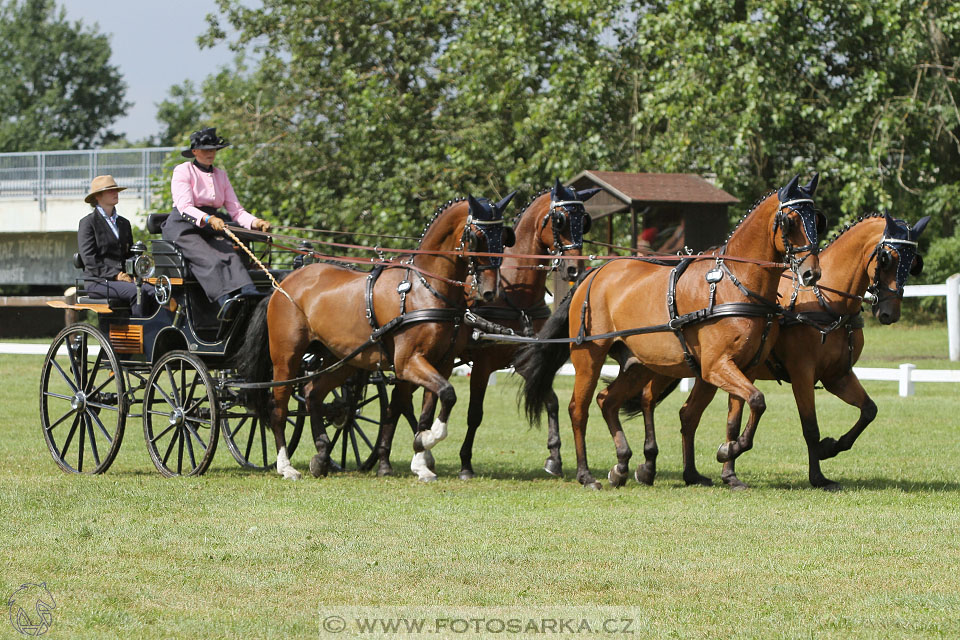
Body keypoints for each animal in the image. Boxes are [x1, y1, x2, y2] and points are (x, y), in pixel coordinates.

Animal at [236, 195, 512, 480]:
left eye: (503, 237)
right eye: (476, 237)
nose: (490, 291)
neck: (425, 289)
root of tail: (281, 284)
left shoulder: (442, 363)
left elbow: (433, 406)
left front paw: (421, 458)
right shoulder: (408, 362)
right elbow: (446, 394)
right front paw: (426, 442)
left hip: (342, 359)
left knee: (313, 393)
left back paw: (322, 456)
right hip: (286, 358)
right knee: (278, 407)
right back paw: (285, 465)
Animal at [372, 178, 596, 478]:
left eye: (584, 220)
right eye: (560, 220)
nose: (575, 269)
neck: (516, 298)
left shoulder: (523, 359)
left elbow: (550, 400)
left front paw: (554, 458)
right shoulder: (482, 363)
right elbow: (474, 414)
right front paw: (466, 463)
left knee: (402, 400)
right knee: (398, 402)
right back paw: (387, 459)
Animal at [516, 172, 824, 488]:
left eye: (817, 219)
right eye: (791, 221)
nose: (811, 273)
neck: (735, 284)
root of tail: (594, 273)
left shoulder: (745, 368)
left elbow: (740, 413)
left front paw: (729, 459)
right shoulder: (716, 366)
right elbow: (757, 401)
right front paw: (728, 450)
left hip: (638, 365)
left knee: (607, 401)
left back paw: (622, 465)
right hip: (589, 356)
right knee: (578, 409)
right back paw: (585, 474)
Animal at [704, 212, 928, 488]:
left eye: (913, 262)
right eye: (887, 259)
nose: (890, 313)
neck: (828, 303)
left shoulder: (837, 376)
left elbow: (869, 410)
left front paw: (830, 448)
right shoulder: (803, 374)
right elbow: (810, 427)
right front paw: (818, 476)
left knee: (730, 421)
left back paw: (729, 472)